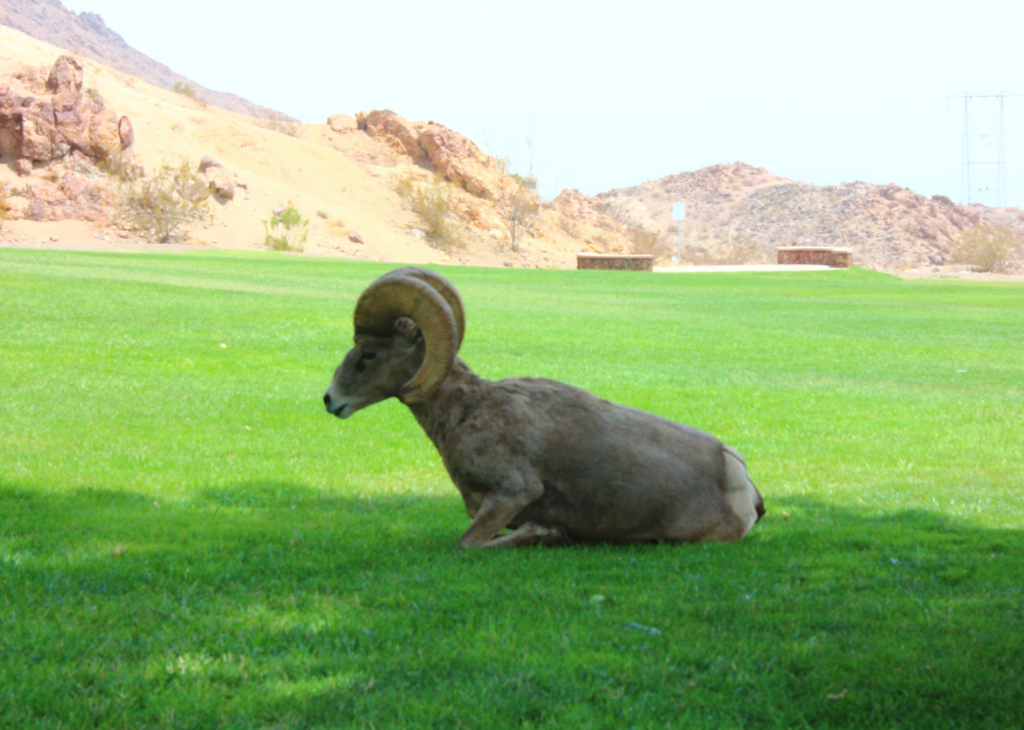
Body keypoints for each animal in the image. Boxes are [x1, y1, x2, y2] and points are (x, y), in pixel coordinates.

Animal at [323, 267, 765, 548]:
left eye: (367, 354)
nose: (330, 400)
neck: (469, 410)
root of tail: (740, 477)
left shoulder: (513, 491)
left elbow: (468, 542)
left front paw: (546, 533)